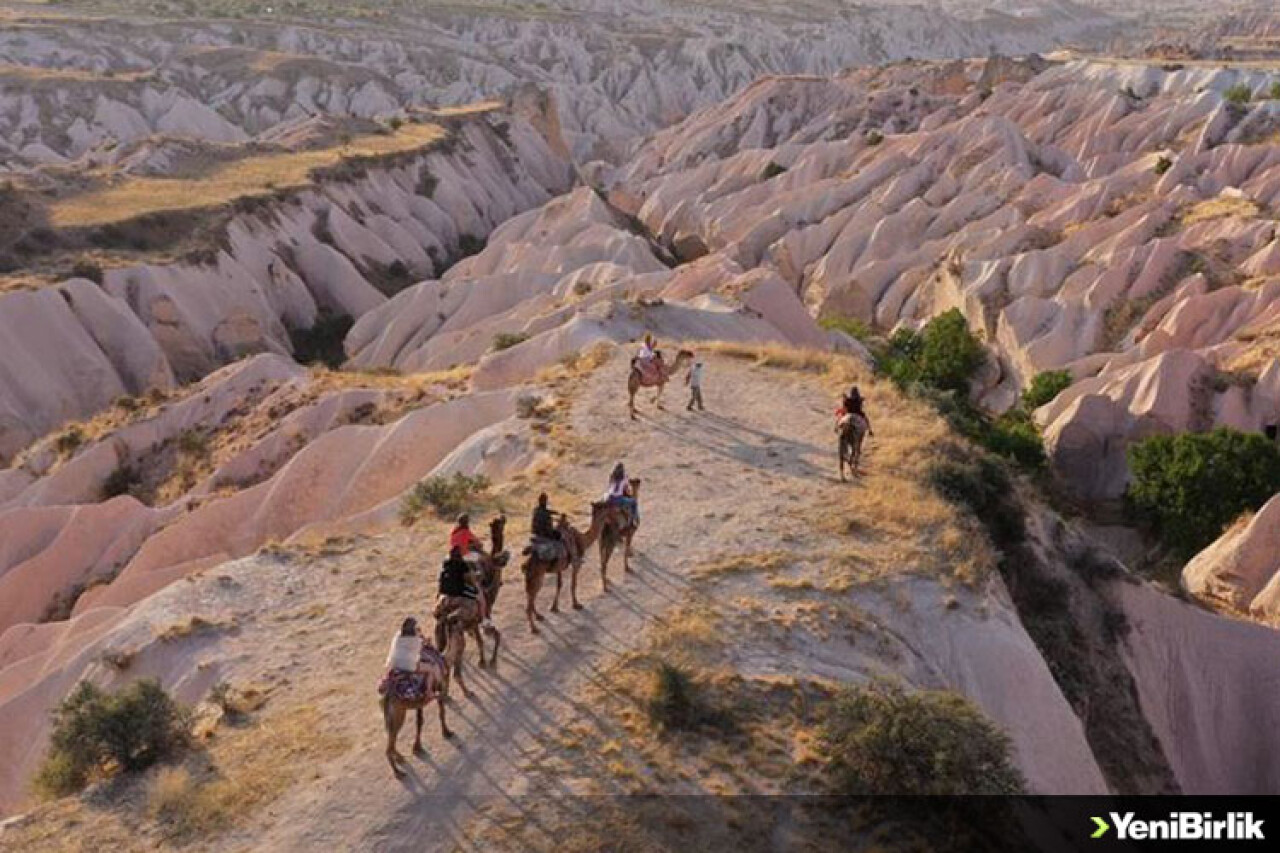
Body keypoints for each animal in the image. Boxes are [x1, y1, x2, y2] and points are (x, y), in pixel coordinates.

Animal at [378, 622, 465, 773]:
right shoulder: (440, 689)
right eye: (460, 632)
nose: (464, 642)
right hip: (398, 714)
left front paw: (417, 747)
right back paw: (398, 773)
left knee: (391, 740)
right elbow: (441, 712)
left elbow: (420, 721)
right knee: (389, 746)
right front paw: (447, 732)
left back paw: (400, 758)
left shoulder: (420, 702)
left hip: (390, 717)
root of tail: (387, 696)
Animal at [432, 514, 506, 666]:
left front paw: (483, 660)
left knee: (441, 643)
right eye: (499, 522)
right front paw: (488, 661)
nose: (503, 517)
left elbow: (479, 640)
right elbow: (488, 637)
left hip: (439, 621)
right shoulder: (484, 612)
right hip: (462, 613)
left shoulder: (474, 622)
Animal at [517, 499, 622, 630]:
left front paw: (554, 607)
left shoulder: (560, 567)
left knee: (530, 597)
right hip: (537, 575)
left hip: (531, 577)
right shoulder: (576, 564)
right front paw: (576, 604)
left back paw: (539, 616)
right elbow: (573, 584)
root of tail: (527, 562)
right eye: (607, 506)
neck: (582, 539)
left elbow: (559, 585)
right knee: (530, 601)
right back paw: (534, 628)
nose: (618, 509)